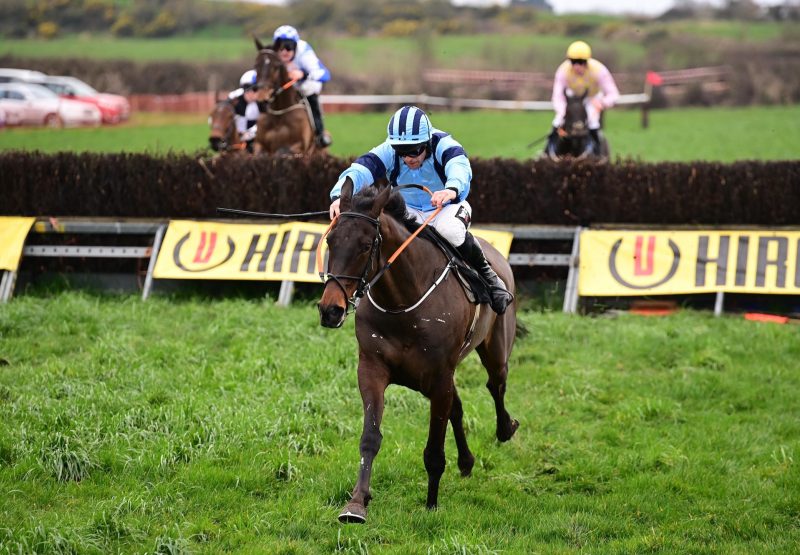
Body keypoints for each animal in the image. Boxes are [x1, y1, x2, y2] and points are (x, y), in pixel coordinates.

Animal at [316, 181, 520, 520]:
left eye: (365, 245)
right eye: (331, 240)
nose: (331, 310)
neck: (403, 303)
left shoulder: (438, 377)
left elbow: (434, 449)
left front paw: (431, 504)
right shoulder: (372, 369)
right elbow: (370, 438)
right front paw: (356, 503)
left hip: (495, 348)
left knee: (496, 384)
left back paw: (506, 428)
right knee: (459, 406)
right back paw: (467, 461)